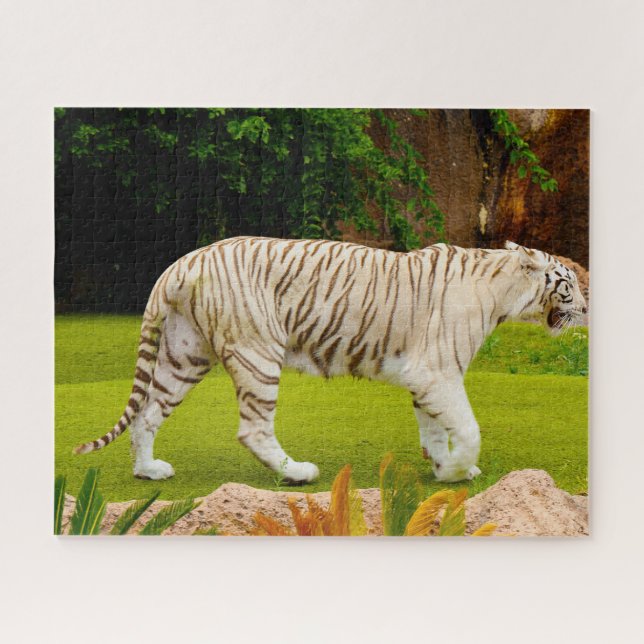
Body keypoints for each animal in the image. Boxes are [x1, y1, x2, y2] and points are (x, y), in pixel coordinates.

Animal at [74, 237, 587, 484]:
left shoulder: (426, 377)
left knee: (147, 413)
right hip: (258, 352)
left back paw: (148, 470)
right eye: (569, 283)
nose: (586, 304)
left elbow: (436, 429)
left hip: (184, 355)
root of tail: (183, 262)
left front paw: (445, 468)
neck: (503, 290)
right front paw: (459, 471)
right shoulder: (437, 371)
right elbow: (468, 428)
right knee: (253, 429)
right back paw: (297, 473)